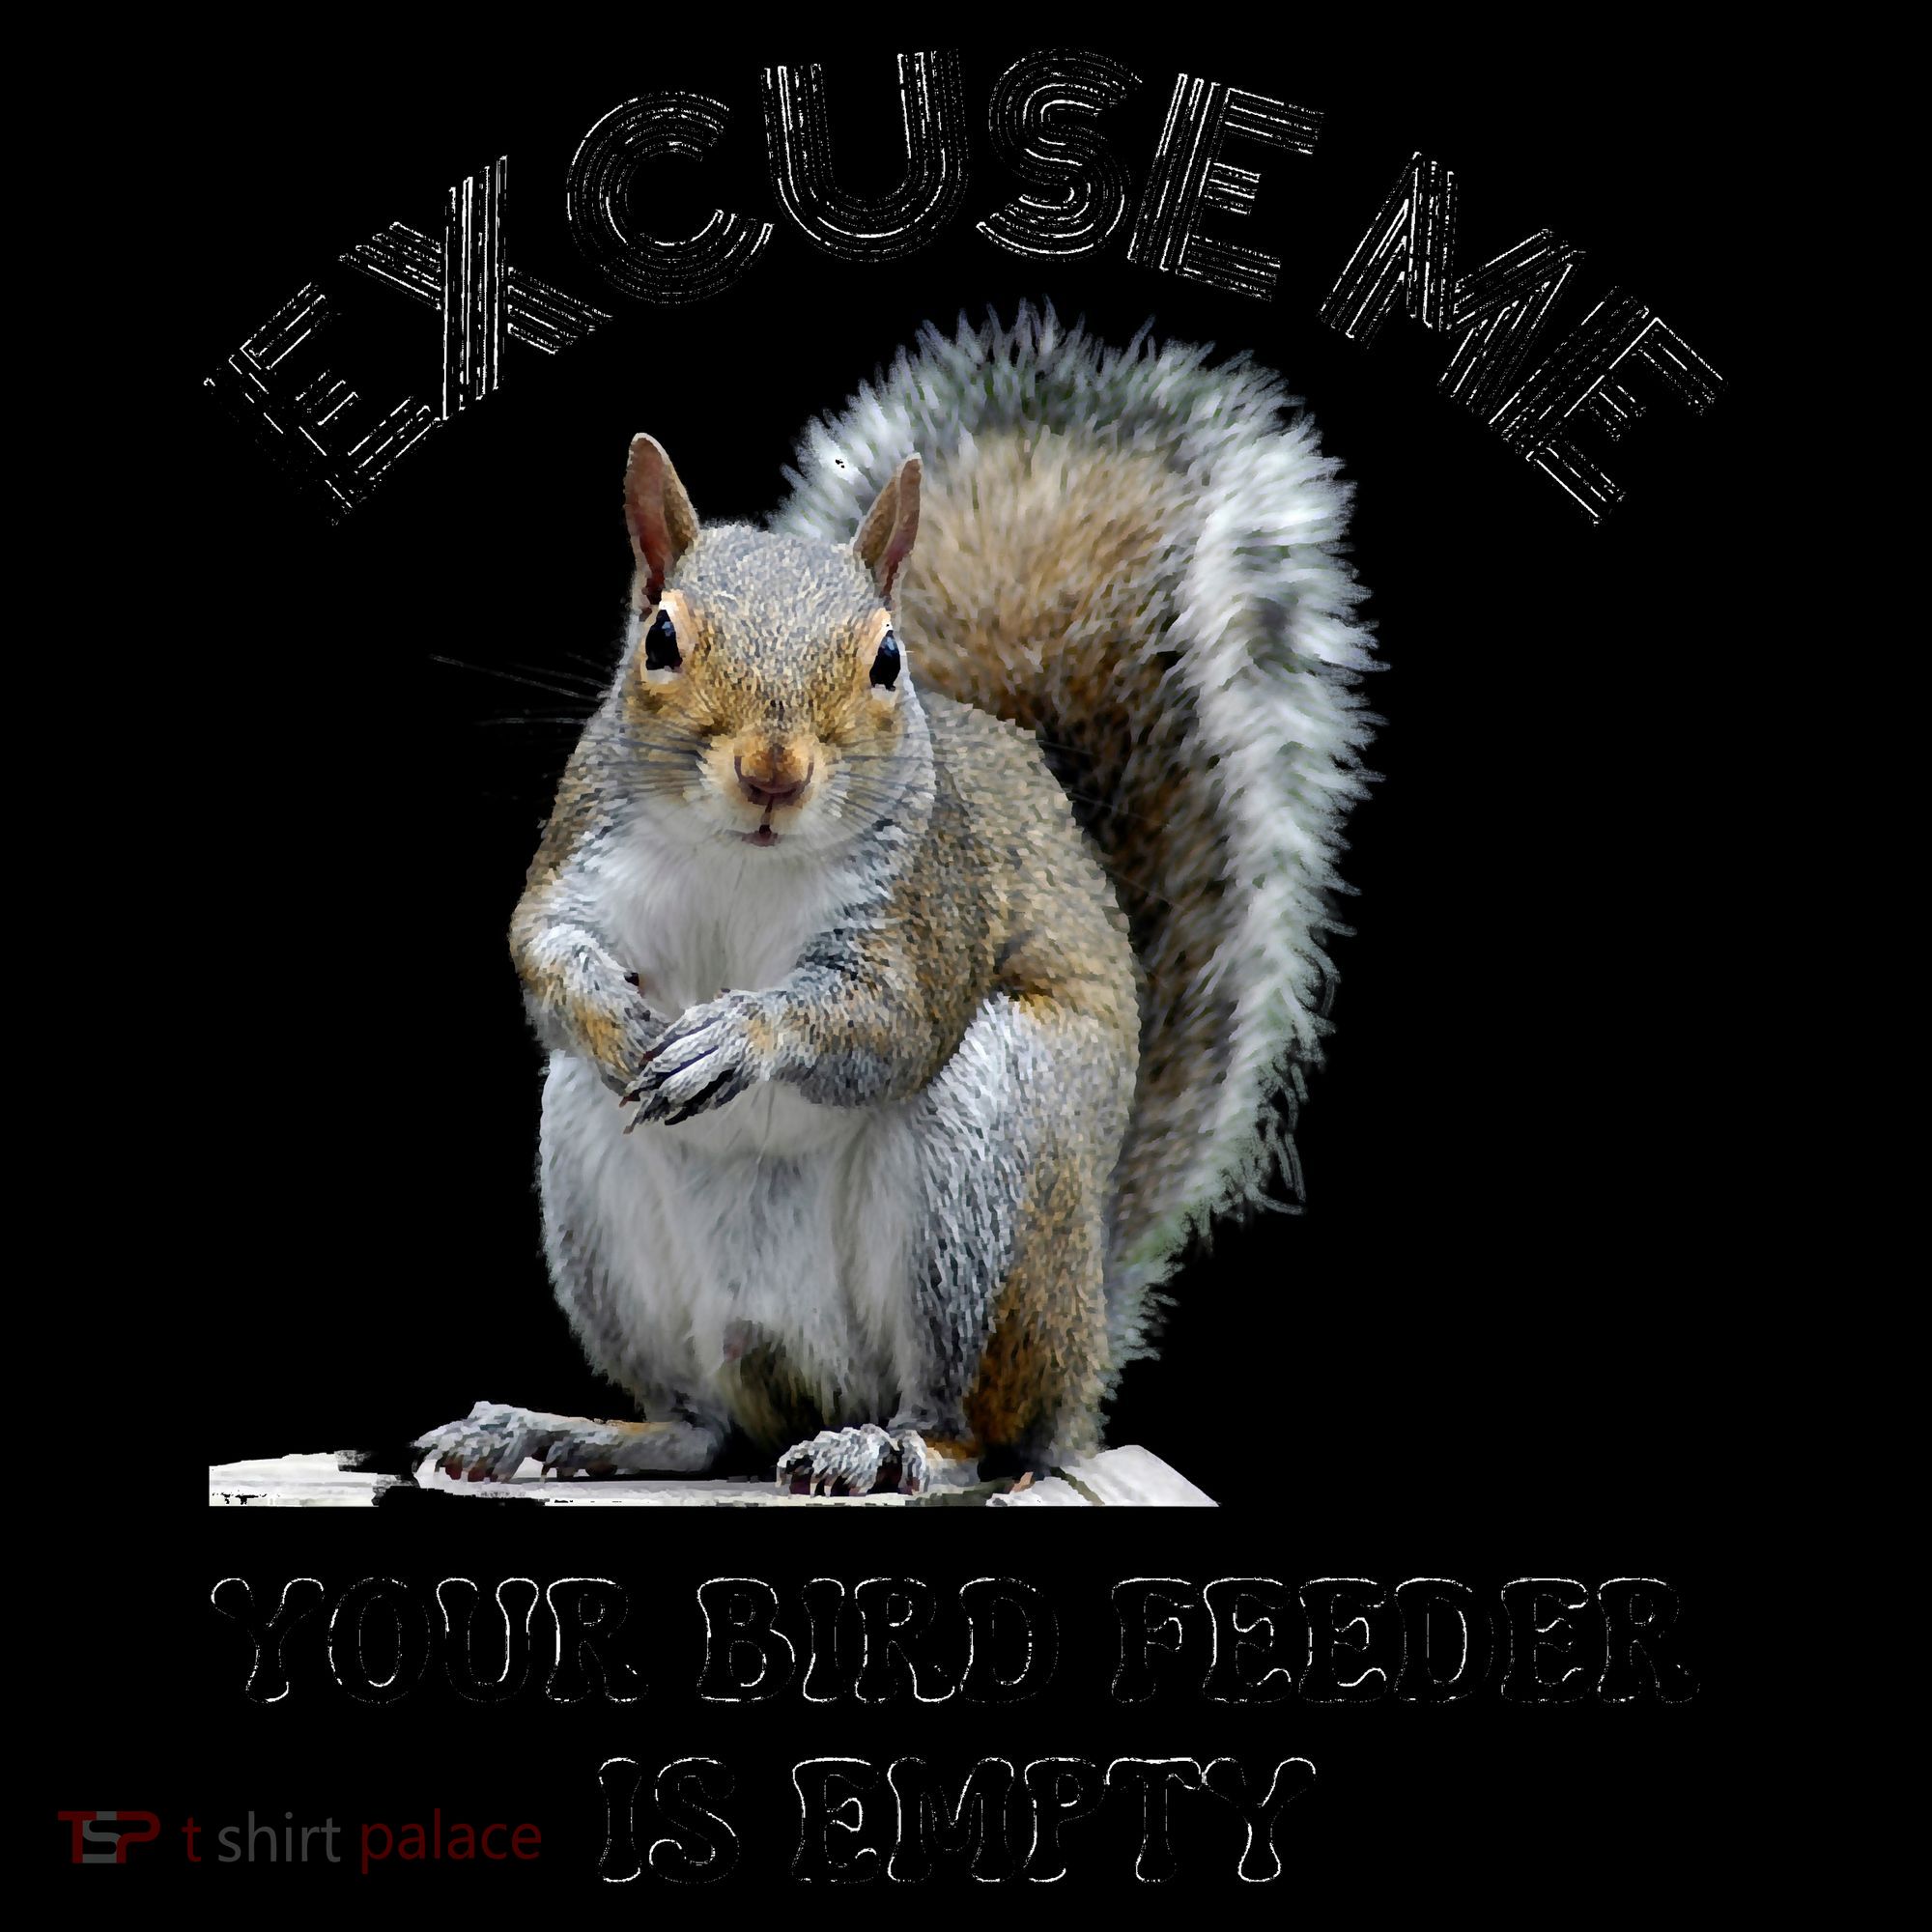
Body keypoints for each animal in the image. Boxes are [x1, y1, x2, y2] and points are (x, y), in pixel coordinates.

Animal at [415, 306, 1377, 1497]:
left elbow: (891, 1018)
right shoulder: (584, 853)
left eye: (885, 658)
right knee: (698, 1424)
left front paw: (739, 1034)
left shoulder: (928, 904)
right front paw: (615, 1016)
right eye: (660, 639)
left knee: (973, 1425)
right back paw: (564, 1431)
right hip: (597, 1184)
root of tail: (1082, 1350)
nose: (772, 772)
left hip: (984, 1169)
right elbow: (543, 945)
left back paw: (888, 1442)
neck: (745, 857)